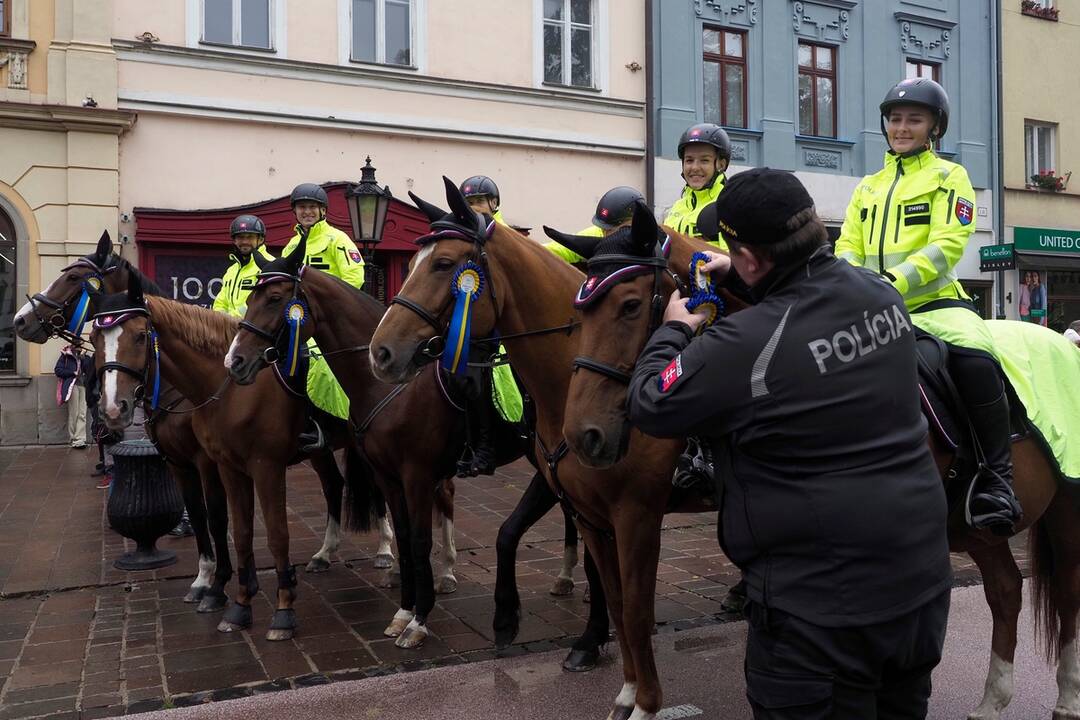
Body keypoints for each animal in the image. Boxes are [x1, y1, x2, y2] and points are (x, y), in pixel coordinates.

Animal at [89, 276, 384, 643]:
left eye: (141, 335)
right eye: (94, 338)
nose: (113, 408)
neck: (227, 389)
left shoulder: (250, 466)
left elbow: (251, 527)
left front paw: (244, 597)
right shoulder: (199, 465)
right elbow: (224, 525)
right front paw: (225, 594)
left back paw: (386, 551)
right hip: (321, 450)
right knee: (333, 484)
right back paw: (325, 553)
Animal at [223, 239, 613, 669]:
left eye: (275, 299)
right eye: (250, 296)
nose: (235, 360)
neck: (389, 389)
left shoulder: (417, 475)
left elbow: (421, 542)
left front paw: (419, 622)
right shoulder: (389, 478)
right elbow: (407, 539)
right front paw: (404, 611)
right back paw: (566, 578)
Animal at [367, 175, 730, 720]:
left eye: (445, 264)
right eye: (409, 264)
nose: (381, 353)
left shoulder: (635, 514)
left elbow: (634, 606)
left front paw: (640, 699)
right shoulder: (586, 509)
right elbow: (613, 595)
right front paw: (615, 677)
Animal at [552, 207, 1080, 720]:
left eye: (631, 305)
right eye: (578, 312)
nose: (582, 435)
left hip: (1064, 509)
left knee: (1067, 592)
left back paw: (1066, 699)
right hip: (974, 530)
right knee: (1006, 589)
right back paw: (992, 701)